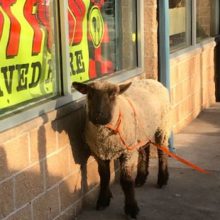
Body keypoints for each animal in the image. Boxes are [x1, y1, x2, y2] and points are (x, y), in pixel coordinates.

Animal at [72, 79, 170, 218]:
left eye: (113, 95)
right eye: (89, 94)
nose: (98, 116)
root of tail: (152, 80)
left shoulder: (127, 153)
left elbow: (126, 181)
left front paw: (131, 208)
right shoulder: (100, 154)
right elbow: (104, 178)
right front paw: (103, 201)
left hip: (162, 127)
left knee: (162, 151)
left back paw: (162, 179)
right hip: (141, 134)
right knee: (144, 150)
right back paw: (141, 178)